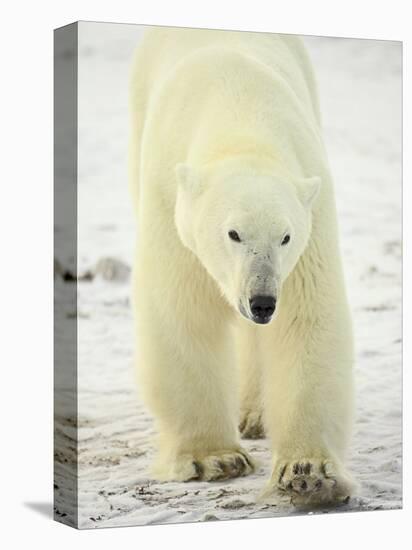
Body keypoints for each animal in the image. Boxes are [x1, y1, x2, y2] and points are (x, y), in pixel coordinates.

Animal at [129, 27, 354, 508]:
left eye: (285, 236)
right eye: (233, 234)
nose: (262, 301)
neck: (239, 114)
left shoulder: (310, 213)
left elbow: (306, 318)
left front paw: (308, 473)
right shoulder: (170, 204)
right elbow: (183, 313)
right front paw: (214, 458)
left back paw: (254, 414)